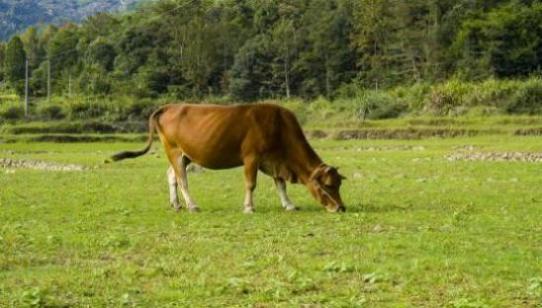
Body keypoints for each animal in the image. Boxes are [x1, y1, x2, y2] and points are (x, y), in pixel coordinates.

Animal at [111, 102, 348, 213]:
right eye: (327, 186)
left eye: (339, 185)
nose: (341, 207)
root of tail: (168, 106)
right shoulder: (251, 157)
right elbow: (251, 184)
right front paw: (249, 207)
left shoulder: (274, 160)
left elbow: (280, 184)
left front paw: (289, 205)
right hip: (174, 150)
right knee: (181, 179)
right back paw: (192, 205)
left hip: (185, 154)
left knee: (171, 175)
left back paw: (176, 204)